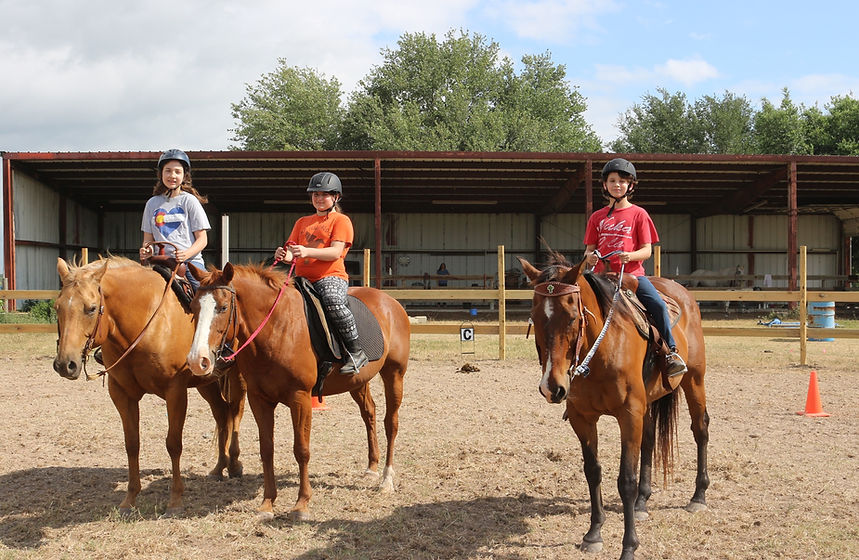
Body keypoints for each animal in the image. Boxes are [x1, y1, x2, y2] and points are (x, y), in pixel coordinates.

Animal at [53, 258, 245, 516]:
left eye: (91, 308)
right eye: (57, 307)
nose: (66, 364)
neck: (146, 324)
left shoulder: (175, 392)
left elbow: (173, 444)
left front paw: (175, 499)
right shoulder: (121, 394)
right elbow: (132, 444)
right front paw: (130, 498)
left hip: (237, 376)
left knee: (235, 411)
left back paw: (234, 464)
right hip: (206, 381)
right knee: (222, 414)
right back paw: (218, 468)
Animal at [186, 262, 414, 520]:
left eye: (223, 307)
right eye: (193, 307)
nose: (197, 361)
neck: (276, 329)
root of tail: (390, 301)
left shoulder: (300, 398)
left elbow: (302, 449)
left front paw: (302, 504)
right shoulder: (259, 399)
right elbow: (267, 449)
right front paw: (267, 503)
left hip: (394, 374)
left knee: (391, 423)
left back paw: (386, 479)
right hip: (358, 381)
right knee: (369, 413)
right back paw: (372, 467)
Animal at [516, 253, 712, 560]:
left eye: (573, 318)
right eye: (535, 318)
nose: (552, 387)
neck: (600, 352)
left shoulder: (629, 414)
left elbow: (625, 481)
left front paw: (629, 546)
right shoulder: (582, 417)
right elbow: (593, 472)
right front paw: (594, 533)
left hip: (694, 380)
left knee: (700, 429)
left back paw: (698, 496)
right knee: (649, 441)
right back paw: (643, 502)